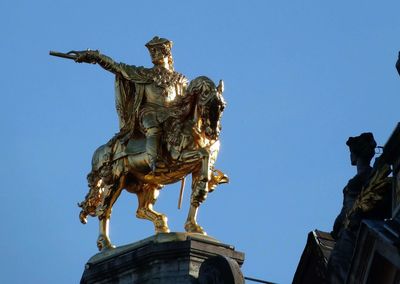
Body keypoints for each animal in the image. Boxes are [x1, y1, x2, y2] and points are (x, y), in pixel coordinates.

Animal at [78, 76, 228, 251]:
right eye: (207, 103)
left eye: (222, 107)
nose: (214, 132)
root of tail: (100, 152)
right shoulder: (180, 158)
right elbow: (204, 155)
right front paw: (206, 183)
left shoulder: (196, 168)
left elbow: (196, 194)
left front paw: (193, 227)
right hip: (115, 181)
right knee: (104, 210)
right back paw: (106, 244)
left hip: (149, 183)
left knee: (141, 210)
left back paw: (161, 224)